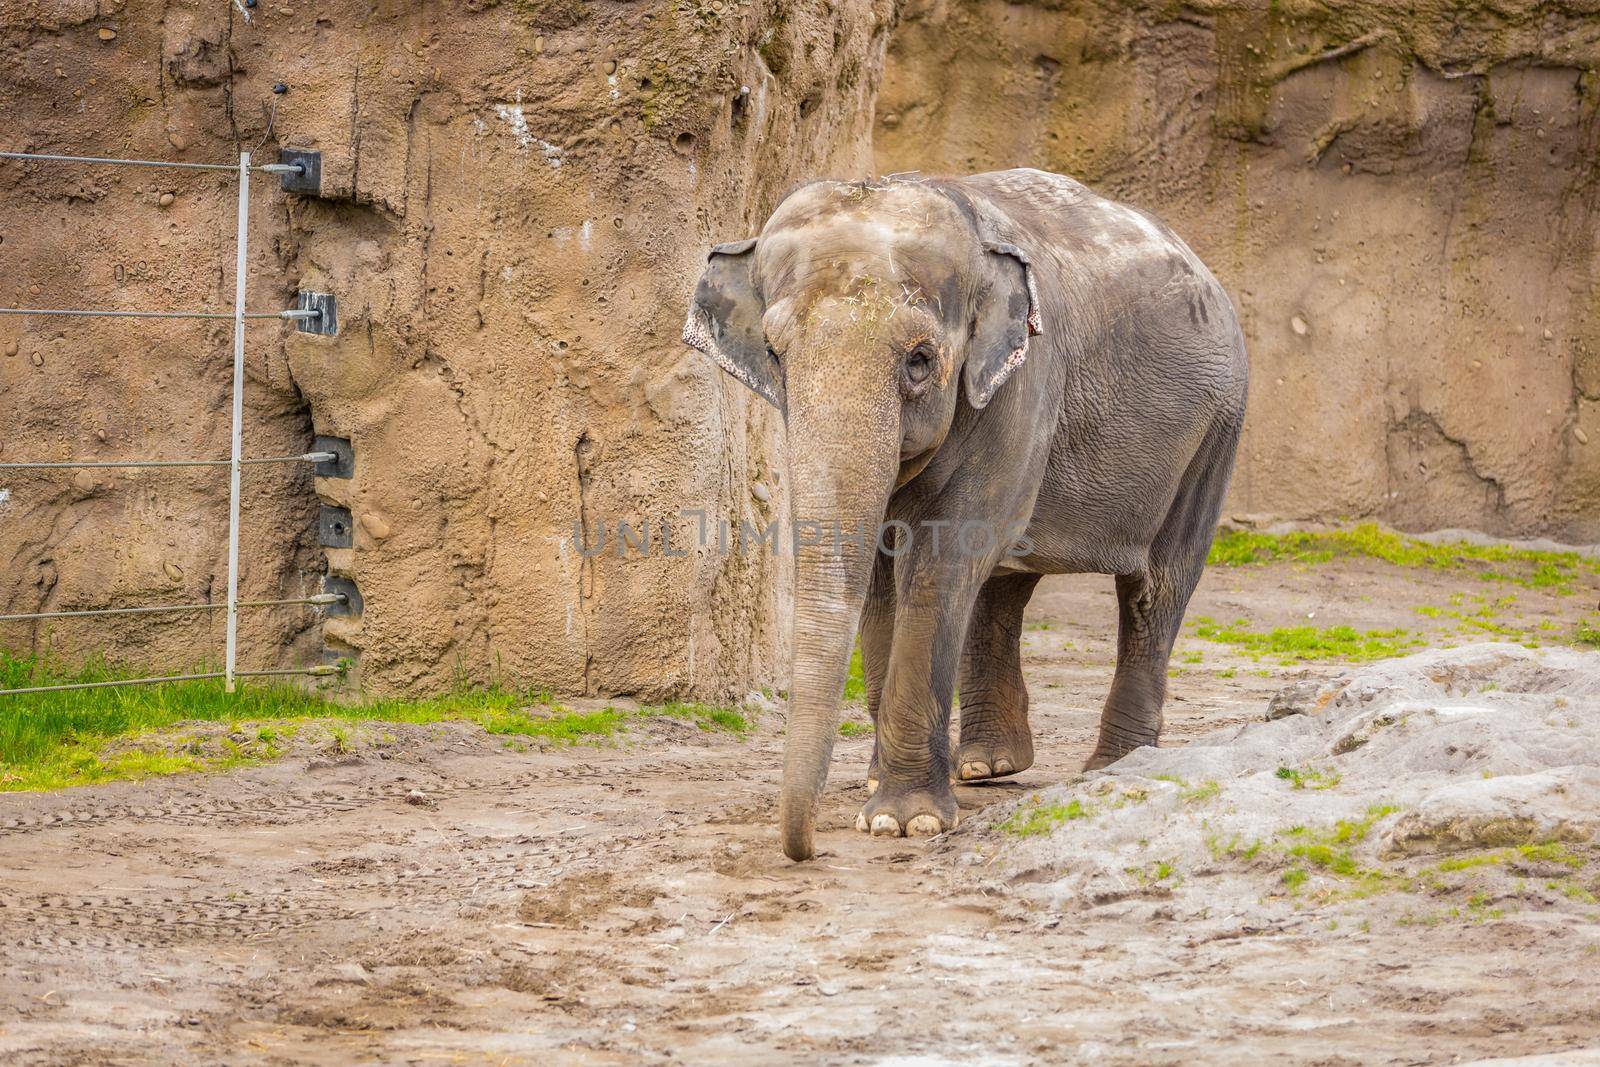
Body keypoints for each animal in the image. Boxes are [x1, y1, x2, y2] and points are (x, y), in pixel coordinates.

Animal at [681, 171, 1241, 863]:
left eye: (921, 360)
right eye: (774, 354)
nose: (805, 849)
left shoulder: (1026, 386)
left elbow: (937, 569)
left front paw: (903, 822)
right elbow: (883, 579)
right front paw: (882, 791)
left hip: (1215, 432)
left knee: (1155, 589)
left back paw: (1114, 767)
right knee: (1004, 585)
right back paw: (986, 766)